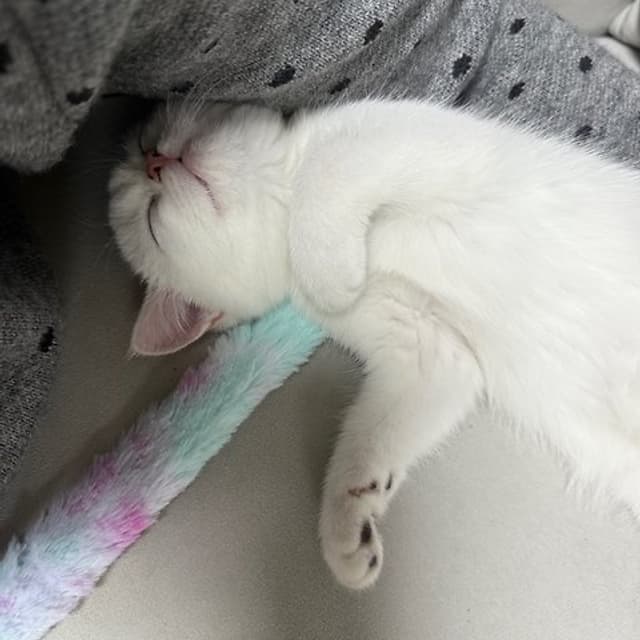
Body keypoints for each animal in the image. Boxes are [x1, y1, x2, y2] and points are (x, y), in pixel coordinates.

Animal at [109, 97, 640, 590]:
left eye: (149, 141)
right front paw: (347, 527)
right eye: (152, 219)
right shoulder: (428, 348)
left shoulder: (386, 133)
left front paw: (331, 272)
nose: (155, 161)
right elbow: (372, 434)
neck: (281, 190)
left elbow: (326, 173)